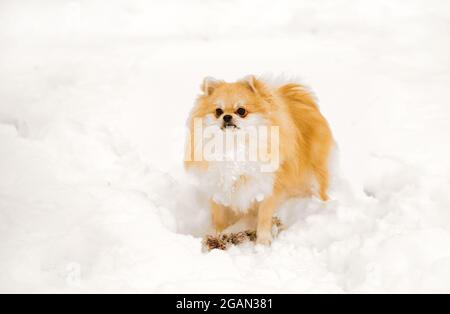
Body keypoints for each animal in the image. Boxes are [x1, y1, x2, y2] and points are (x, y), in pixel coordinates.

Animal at [185, 75, 332, 245]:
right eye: (218, 111)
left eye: (241, 111)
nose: (227, 116)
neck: (235, 147)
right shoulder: (218, 186)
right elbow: (219, 217)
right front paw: (218, 234)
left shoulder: (268, 186)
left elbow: (264, 217)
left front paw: (263, 241)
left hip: (316, 173)